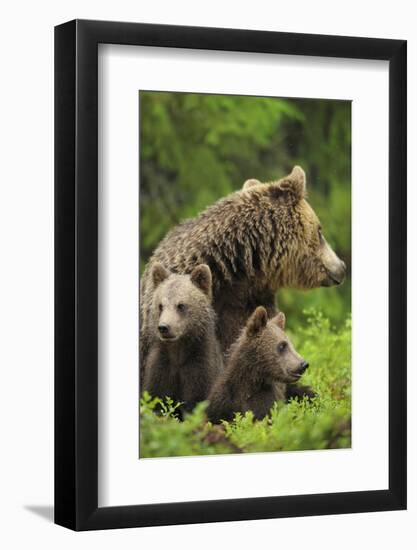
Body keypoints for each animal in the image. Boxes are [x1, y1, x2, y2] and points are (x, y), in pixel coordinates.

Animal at [142, 262, 223, 414]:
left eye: (181, 305)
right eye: (160, 305)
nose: (164, 327)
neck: (178, 351)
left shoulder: (200, 369)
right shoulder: (161, 369)